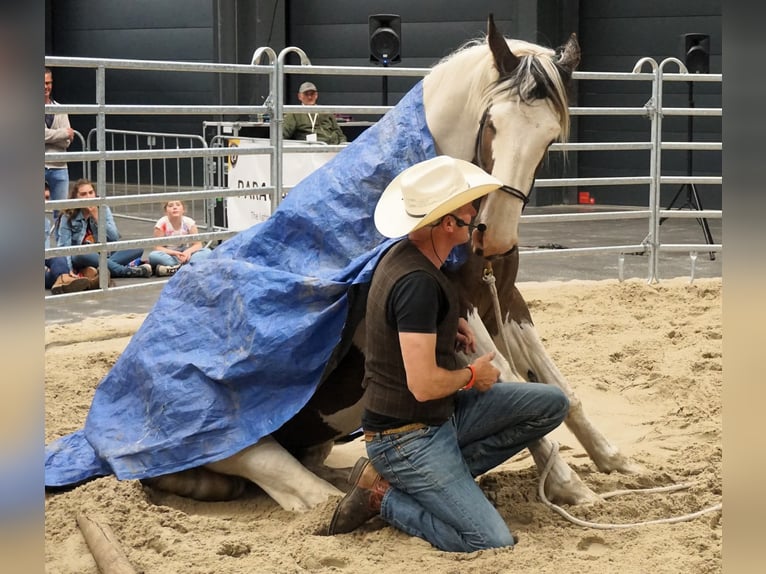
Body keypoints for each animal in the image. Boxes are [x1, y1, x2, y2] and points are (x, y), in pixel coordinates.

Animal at [46, 15, 639, 512]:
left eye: (550, 136)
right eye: (492, 123)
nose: (493, 235)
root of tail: (99, 440)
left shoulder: (504, 299)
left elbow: (557, 385)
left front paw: (612, 462)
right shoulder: (455, 304)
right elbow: (514, 381)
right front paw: (569, 484)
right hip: (221, 423)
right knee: (254, 459)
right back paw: (327, 493)